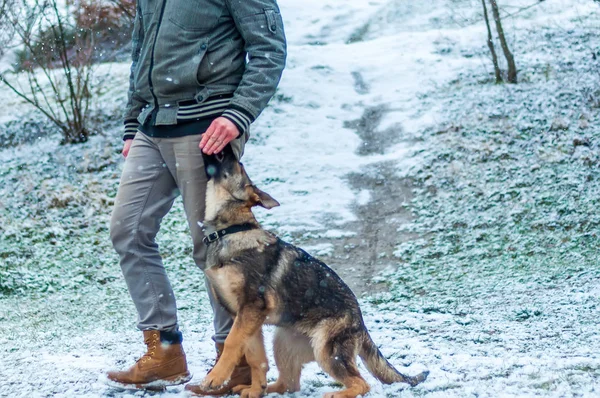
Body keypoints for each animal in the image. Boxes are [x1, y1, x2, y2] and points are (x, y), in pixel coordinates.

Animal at [199, 147, 428, 398]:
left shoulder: (251, 308)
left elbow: (231, 343)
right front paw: (255, 390)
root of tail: (360, 322)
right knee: (289, 384)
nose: (226, 148)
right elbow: (254, 357)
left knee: (361, 383)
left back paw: (337, 394)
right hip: (282, 341)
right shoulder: (246, 318)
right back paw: (266, 388)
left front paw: (214, 378)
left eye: (237, 165)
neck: (230, 231)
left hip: (326, 350)